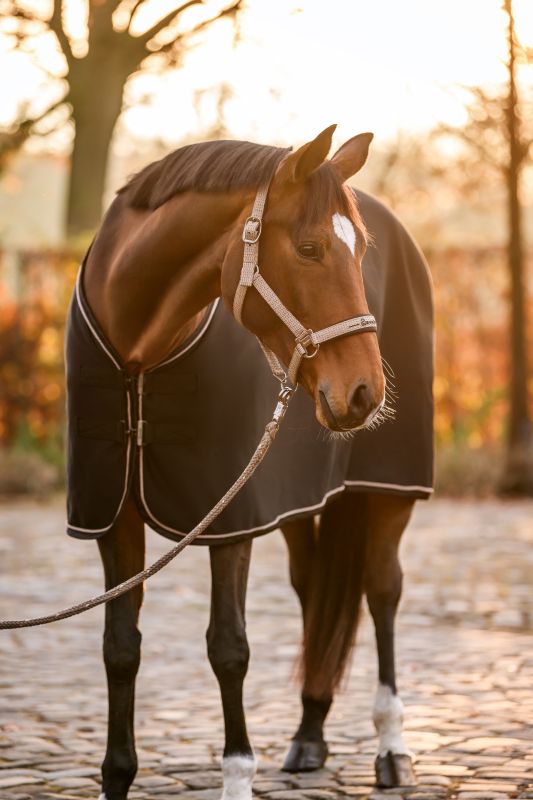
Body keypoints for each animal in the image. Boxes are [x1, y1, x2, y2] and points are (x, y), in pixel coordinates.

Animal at [65, 124, 433, 800]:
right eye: (310, 248)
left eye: (360, 251)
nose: (365, 392)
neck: (139, 354)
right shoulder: (115, 518)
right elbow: (120, 648)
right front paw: (116, 776)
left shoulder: (229, 520)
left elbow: (228, 648)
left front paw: (237, 776)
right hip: (299, 506)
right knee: (314, 591)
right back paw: (309, 734)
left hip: (388, 490)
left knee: (382, 590)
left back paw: (392, 748)